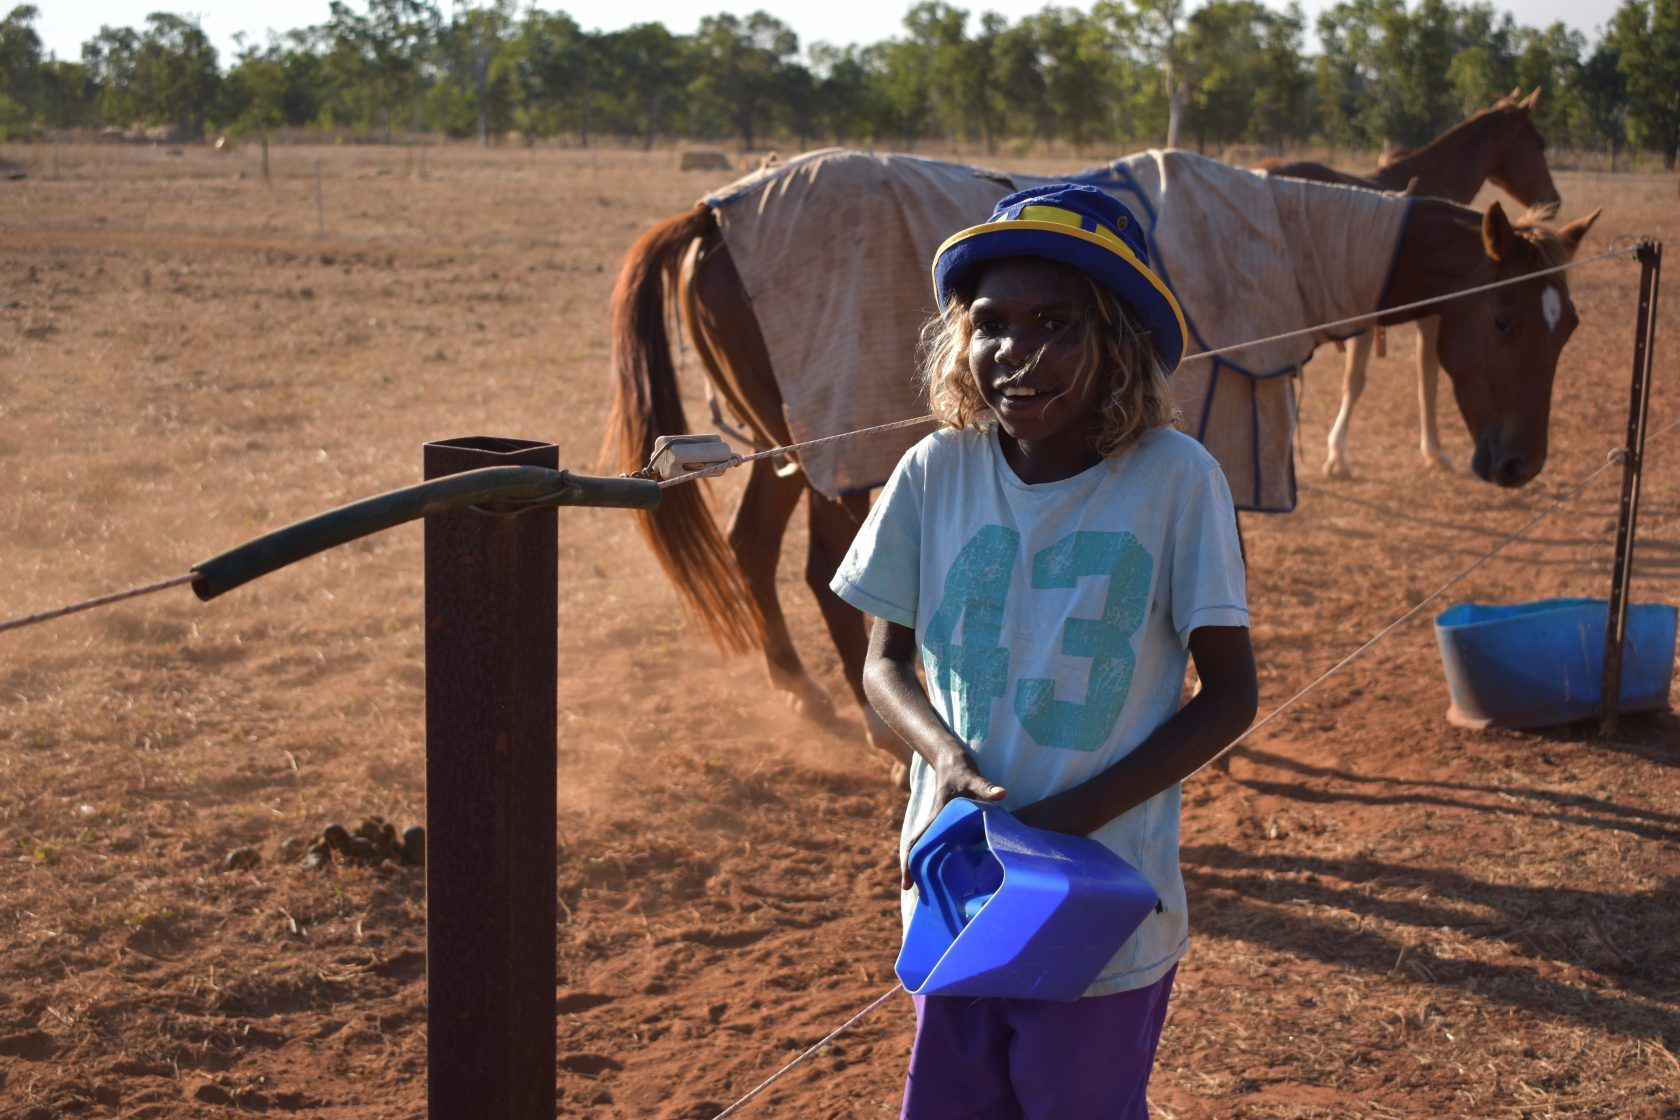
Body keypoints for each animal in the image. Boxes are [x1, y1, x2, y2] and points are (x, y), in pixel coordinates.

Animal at [604, 153, 1599, 778]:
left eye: (1571, 328)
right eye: (1506, 318)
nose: (1519, 462)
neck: (1279, 237)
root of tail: (713, 212)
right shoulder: (1214, 448)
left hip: (778, 446)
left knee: (754, 553)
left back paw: (806, 697)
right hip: (827, 453)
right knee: (821, 574)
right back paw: (873, 727)